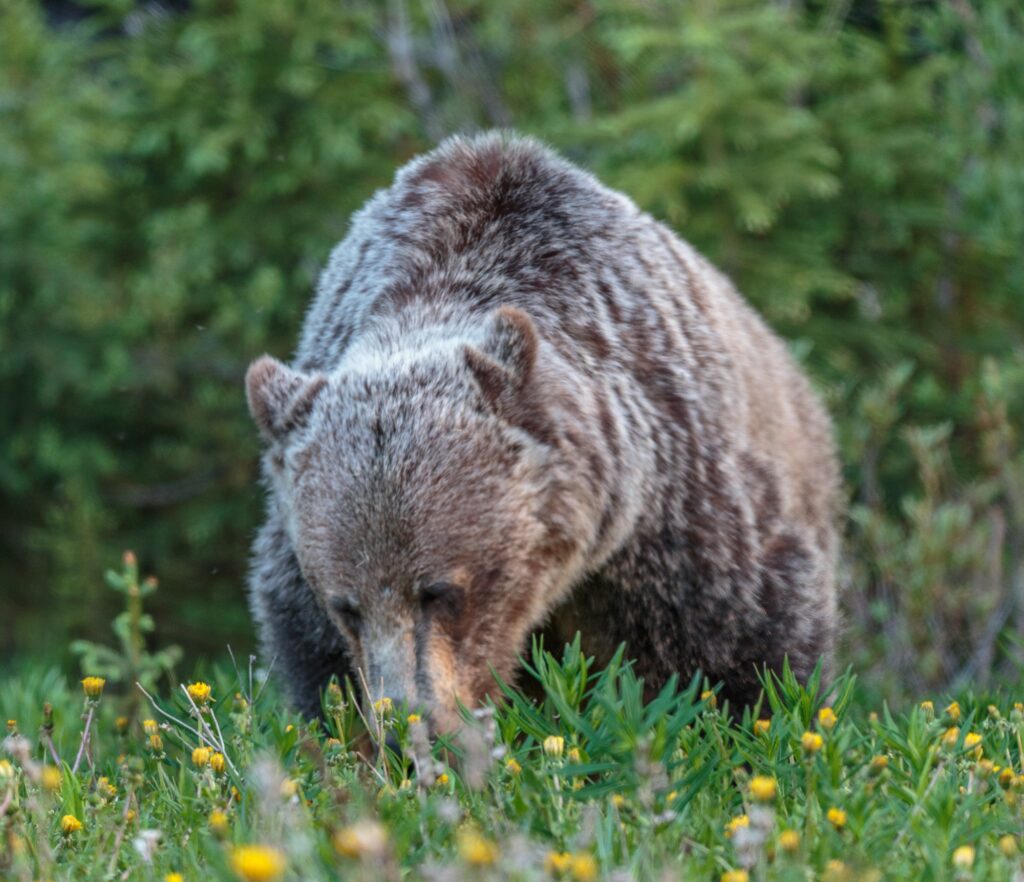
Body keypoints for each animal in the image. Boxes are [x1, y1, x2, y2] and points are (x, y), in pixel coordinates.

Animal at [245, 132, 841, 731]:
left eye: (441, 590)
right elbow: (317, 667)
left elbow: (736, 645)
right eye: (345, 604)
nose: (411, 721)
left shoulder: (677, 507)